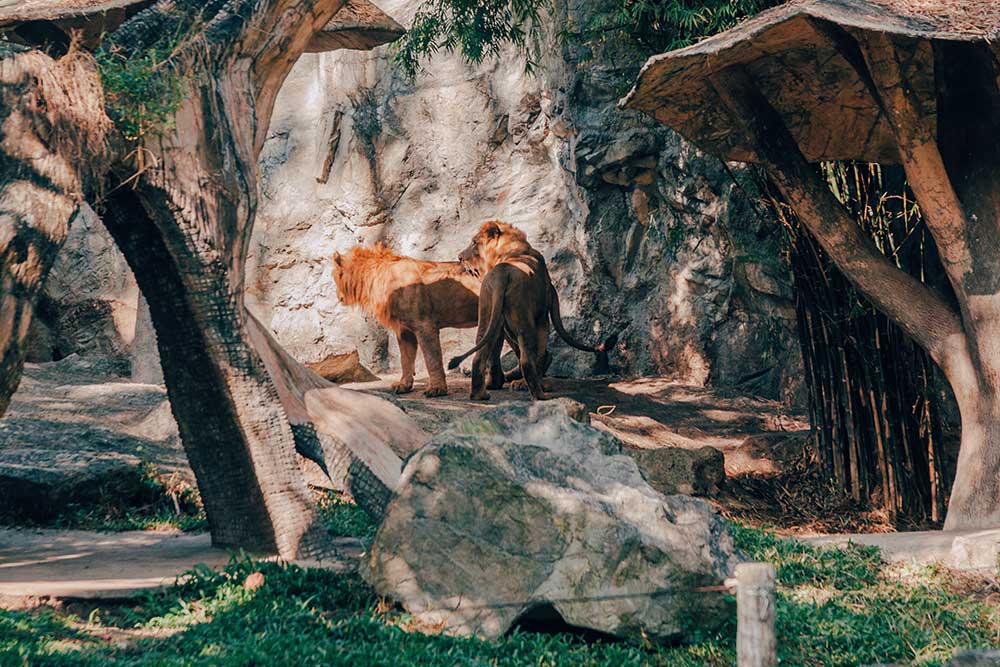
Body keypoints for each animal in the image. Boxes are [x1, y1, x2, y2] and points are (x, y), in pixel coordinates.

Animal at [332, 243, 508, 396]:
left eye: (334, 277)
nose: (338, 297)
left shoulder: (424, 325)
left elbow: (432, 358)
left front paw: (437, 389)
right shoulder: (405, 330)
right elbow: (406, 359)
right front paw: (403, 385)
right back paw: (495, 383)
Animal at [448, 220, 616, 402]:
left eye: (474, 242)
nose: (459, 257)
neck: (511, 251)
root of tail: (503, 273)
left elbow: (495, 353)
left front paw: (496, 383)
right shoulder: (542, 316)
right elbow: (539, 353)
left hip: (489, 317)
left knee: (480, 355)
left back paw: (481, 394)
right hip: (524, 321)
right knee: (527, 360)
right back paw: (540, 394)